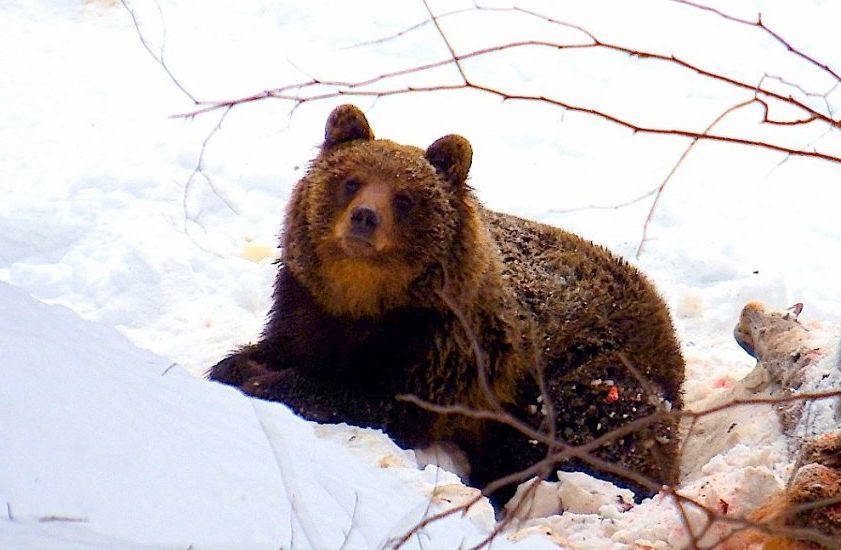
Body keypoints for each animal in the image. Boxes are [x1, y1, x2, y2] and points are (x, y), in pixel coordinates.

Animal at [208, 103, 684, 504]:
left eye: (404, 198)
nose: (364, 217)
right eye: (350, 181)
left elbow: (384, 404)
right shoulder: (307, 305)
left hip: (593, 372)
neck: (366, 301)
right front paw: (236, 365)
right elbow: (281, 346)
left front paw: (266, 381)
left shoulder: (444, 346)